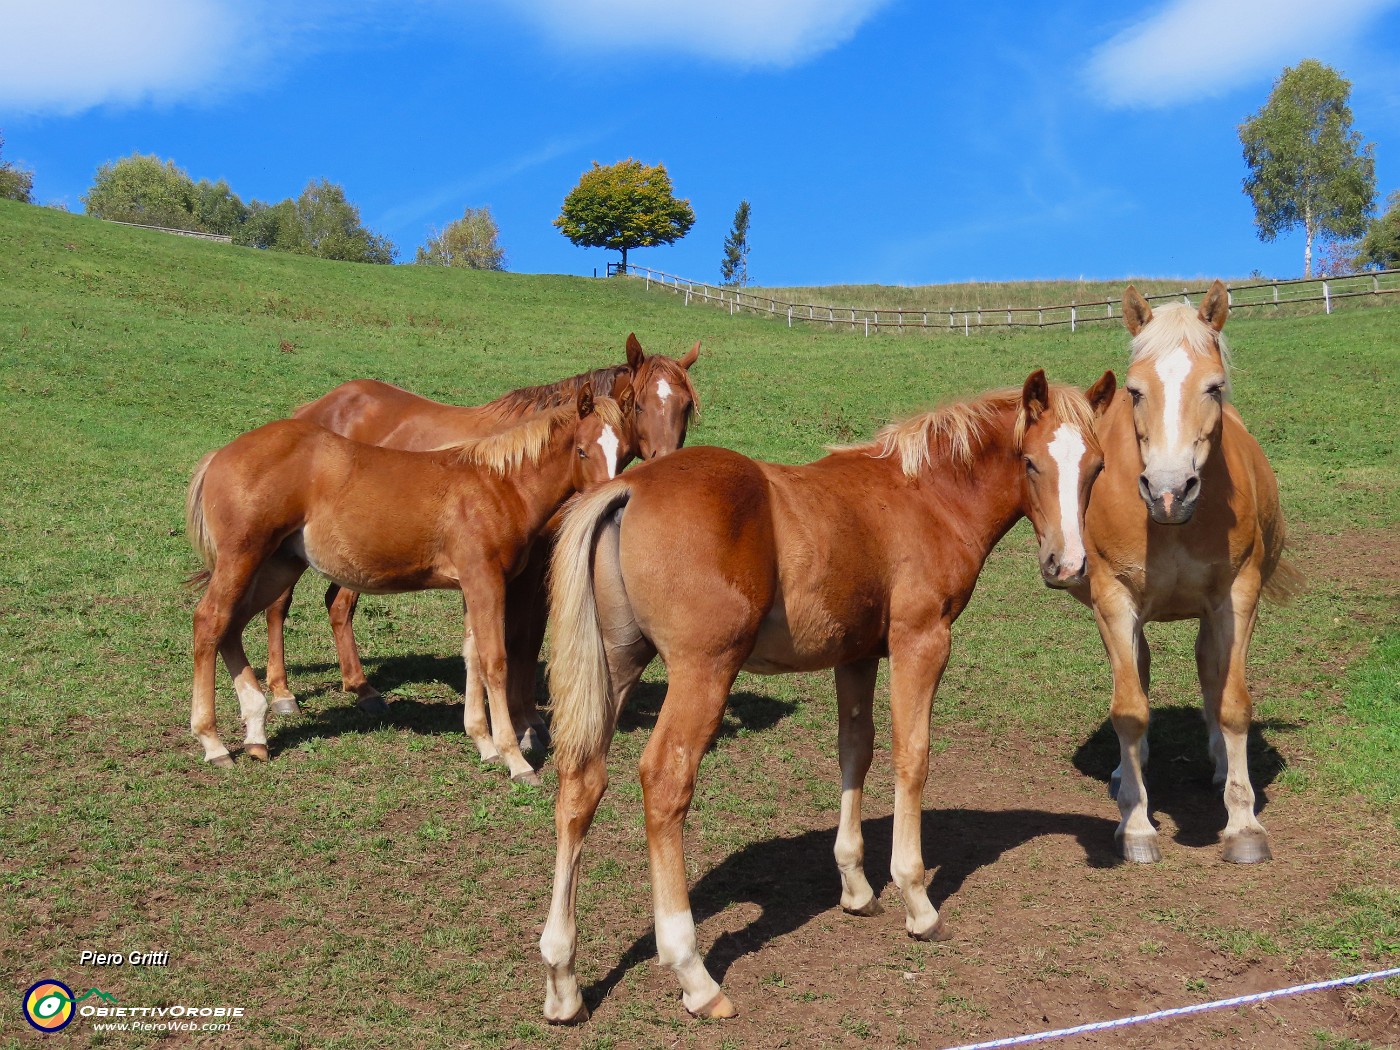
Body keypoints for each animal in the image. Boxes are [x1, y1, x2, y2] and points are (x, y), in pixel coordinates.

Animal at [184, 384, 635, 784]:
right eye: (582, 450)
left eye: (626, 454)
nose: (605, 507)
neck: (498, 486)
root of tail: (220, 454)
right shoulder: (486, 580)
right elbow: (495, 660)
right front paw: (515, 759)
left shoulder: (472, 586)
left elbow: (472, 656)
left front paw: (484, 744)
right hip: (243, 557)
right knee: (210, 620)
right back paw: (214, 743)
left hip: (278, 563)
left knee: (232, 625)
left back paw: (256, 733)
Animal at [261, 333, 700, 751]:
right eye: (639, 406)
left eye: (685, 407)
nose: (670, 467)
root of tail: (313, 409)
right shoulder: (520, 571)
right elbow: (519, 641)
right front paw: (523, 727)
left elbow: (526, 640)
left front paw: (524, 722)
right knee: (280, 605)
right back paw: (282, 693)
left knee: (336, 604)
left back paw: (362, 689)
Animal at [538, 370, 1114, 1022]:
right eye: (1031, 462)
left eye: (1095, 466)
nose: (1068, 565)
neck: (927, 496)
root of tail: (629, 487)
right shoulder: (922, 640)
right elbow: (912, 755)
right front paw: (918, 902)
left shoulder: (857, 654)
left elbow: (855, 750)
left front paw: (857, 888)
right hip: (702, 670)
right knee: (665, 780)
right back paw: (694, 975)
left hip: (617, 663)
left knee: (580, 783)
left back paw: (563, 979)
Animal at [1072, 281, 1301, 865]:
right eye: (1135, 391)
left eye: (1214, 387)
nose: (1169, 491)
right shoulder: (1114, 599)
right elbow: (1130, 709)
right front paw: (1135, 825)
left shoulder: (1236, 596)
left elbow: (1234, 702)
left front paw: (1243, 826)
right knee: (1140, 669)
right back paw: (1126, 773)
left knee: (1211, 671)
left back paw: (1221, 761)